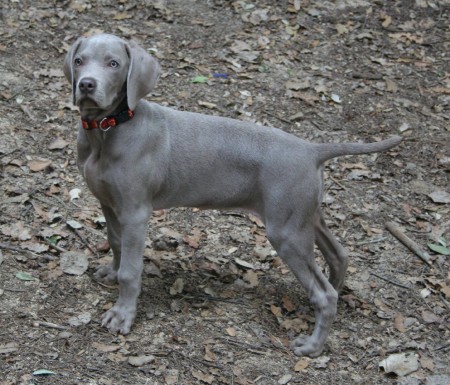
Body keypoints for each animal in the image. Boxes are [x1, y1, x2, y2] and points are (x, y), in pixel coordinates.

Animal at [62, 33, 400, 356]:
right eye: (79, 61)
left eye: (114, 64)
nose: (86, 84)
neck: (107, 130)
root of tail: (312, 149)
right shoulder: (108, 203)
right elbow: (116, 243)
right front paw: (111, 272)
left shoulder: (135, 213)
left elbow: (131, 271)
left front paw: (122, 315)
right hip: (306, 216)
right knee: (339, 256)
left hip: (286, 231)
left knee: (324, 292)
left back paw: (313, 346)